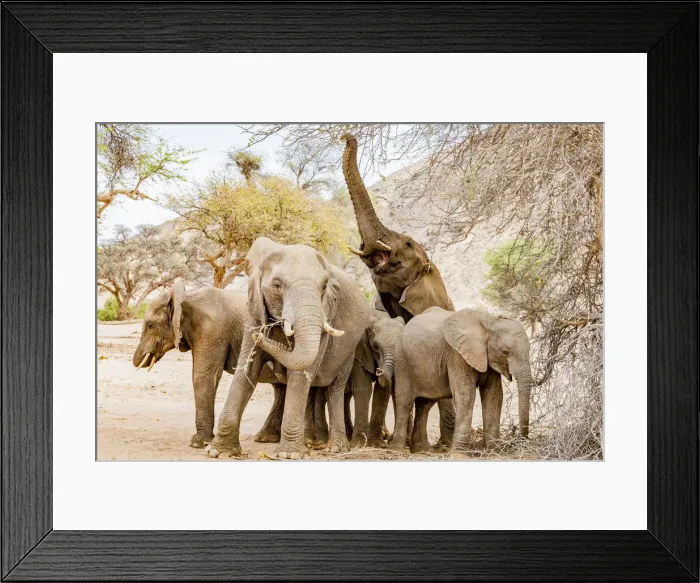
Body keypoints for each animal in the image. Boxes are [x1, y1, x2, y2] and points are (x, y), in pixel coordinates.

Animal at [132, 279, 282, 449]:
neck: (185, 296)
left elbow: (203, 376)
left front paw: (198, 443)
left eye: (150, 326)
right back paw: (264, 438)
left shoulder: (211, 330)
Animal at [206, 237, 372, 460]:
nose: (259, 335)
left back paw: (336, 448)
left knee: (335, 388)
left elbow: (300, 374)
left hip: (350, 349)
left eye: (324, 286)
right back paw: (309, 442)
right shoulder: (254, 311)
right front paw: (218, 451)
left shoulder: (325, 313)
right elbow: (246, 373)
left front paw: (289, 455)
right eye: (277, 285)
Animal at [390, 307, 533, 454]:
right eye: (505, 352)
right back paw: (397, 450)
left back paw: (422, 450)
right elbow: (466, 394)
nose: (522, 440)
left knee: (425, 405)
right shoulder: (457, 355)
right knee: (404, 402)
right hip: (402, 361)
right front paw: (459, 454)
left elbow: (494, 395)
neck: (490, 321)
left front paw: (495, 451)